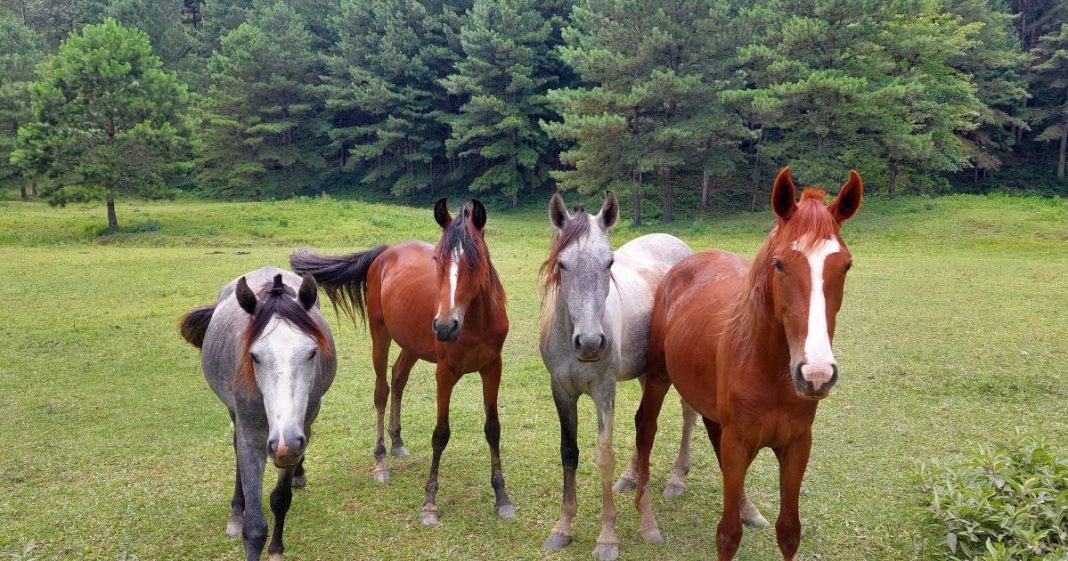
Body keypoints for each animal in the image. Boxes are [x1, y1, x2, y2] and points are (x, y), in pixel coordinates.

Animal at [179, 267, 335, 559]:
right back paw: (236, 511)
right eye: (254, 356)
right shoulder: (251, 438)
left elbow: (280, 499)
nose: (285, 443)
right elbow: (253, 528)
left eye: (312, 352)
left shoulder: (299, 435)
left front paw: (276, 549)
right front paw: (243, 518)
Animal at [288, 197, 512, 525]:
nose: (445, 326)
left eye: (476, 261)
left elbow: (493, 429)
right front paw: (429, 501)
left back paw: (397, 442)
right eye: (437, 259)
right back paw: (381, 458)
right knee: (382, 391)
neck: (475, 321)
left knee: (398, 377)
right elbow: (440, 434)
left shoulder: (493, 368)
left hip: (412, 345)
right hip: (380, 336)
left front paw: (502, 496)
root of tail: (385, 253)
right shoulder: (445, 373)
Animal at [542, 193, 700, 559]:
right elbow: (568, 452)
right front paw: (562, 527)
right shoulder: (561, 390)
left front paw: (607, 537)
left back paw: (677, 479)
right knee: (644, 425)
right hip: (645, 373)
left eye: (609, 262)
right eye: (562, 264)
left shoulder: (604, 391)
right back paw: (630, 476)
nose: (589, 343)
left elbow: (603, 456)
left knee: (688, 415)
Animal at [627, 167, 862, 559]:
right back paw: (644, 511)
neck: (772, 372)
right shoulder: (737, 442)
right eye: (779, 264)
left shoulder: (797, 445)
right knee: (646, 428)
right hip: (659, 378)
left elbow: (789, 531)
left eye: (845, 265)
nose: (816, 374)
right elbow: (728, 534)